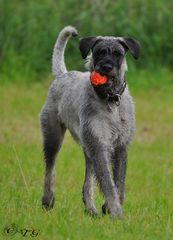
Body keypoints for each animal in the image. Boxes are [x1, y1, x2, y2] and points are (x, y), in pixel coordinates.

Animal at [40, 25, 141, 218]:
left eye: (118, 53)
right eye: (99, 52)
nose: (106, 67)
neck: (111, 101)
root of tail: (62, 75)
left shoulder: (120, 147)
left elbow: (119, 184)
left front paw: (109, 208)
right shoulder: (99, 145)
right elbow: (108, 184)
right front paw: (117, 213)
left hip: (88, 149)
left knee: (87, 183)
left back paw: (91, 209)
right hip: (54, 138)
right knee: (50, 169)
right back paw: (48, 200)